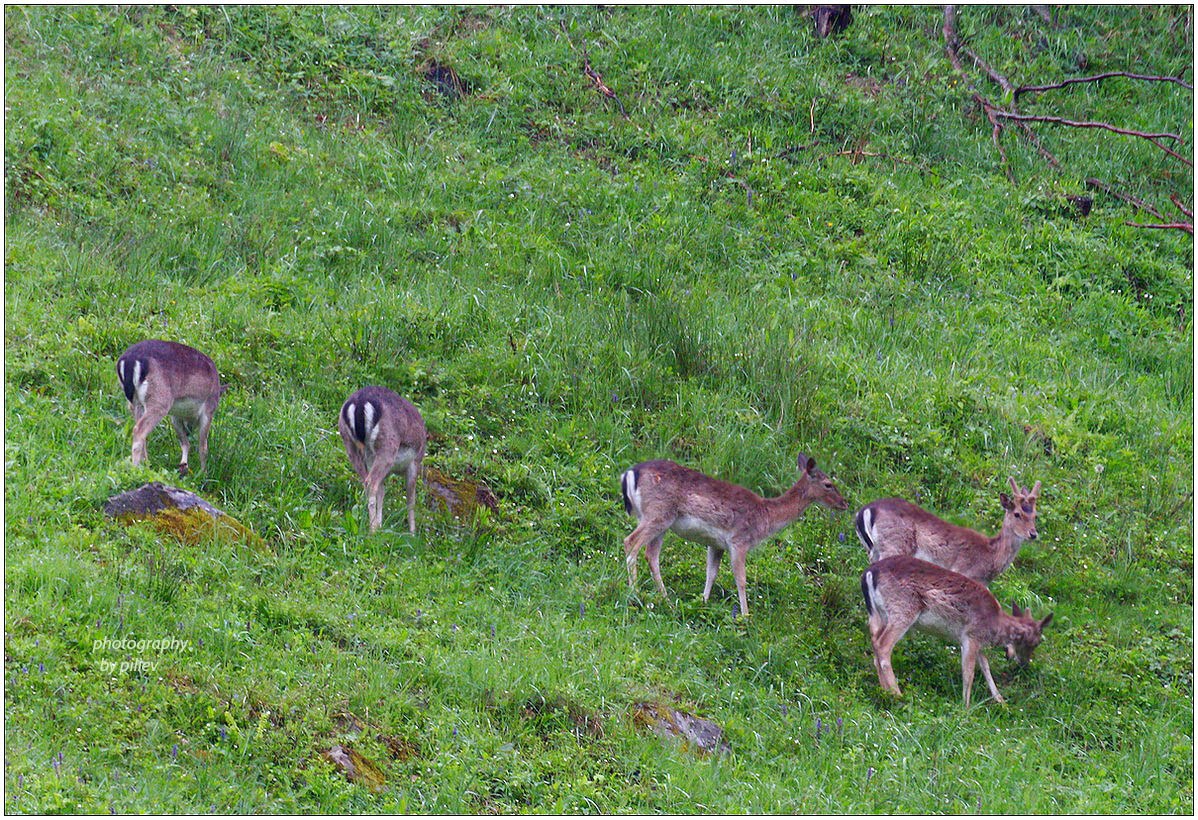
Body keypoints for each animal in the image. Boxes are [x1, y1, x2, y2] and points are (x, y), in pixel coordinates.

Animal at [115, 338, 225, 477]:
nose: (190, 429)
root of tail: (129, 361)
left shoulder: (175, 416)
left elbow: (185, 442)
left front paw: (183, 466)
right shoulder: (208, 410)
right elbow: (203, 446)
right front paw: (203, 474)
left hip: (135, 403)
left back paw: (147, 466)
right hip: (160, 401)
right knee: (139, 430)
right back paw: (136, 469)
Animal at [340, 388, 428, 534]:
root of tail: (360, 404)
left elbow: (382, 491)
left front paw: (380, 524)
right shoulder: (414, 463)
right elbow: (411, 499)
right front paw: (412, 533)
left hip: (350, 445)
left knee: (367, 482)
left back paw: (373, 525)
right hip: (387, 448)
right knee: (371, 482)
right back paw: (372, 530)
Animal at [622, 450, 848, 618]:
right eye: (828, 484)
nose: (845, 503)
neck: (765, 517)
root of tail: (629, 473)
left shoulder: (716, 544)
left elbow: (711, 573)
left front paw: (703, 602)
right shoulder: (740, 540)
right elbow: (741, 579)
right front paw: (746, 616)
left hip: (659, 520)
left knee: (651, 555)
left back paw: (666, 599)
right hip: (658, 513)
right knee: (630, 542)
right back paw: (635, 592)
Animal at [852, 477, 1039, 585]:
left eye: (1035, 515)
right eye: (1017, 513)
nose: (1033, 534)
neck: (990, 557)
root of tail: (866, 510)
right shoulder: (963, 571)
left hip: (874, 549)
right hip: (894, 545)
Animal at [862, 553, 1049, 709]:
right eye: (1036, 642)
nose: (1024, 664)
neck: (995, 624)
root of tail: (869, 573)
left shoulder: (977, 641)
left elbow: (985, 666)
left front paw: (1001, 701)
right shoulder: (971, 636)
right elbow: (969, 672)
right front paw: (966, 707)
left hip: (878, 614)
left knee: (874, 642)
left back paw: (884, 691)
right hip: (902, 609)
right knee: (883, 645)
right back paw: (897, 694)